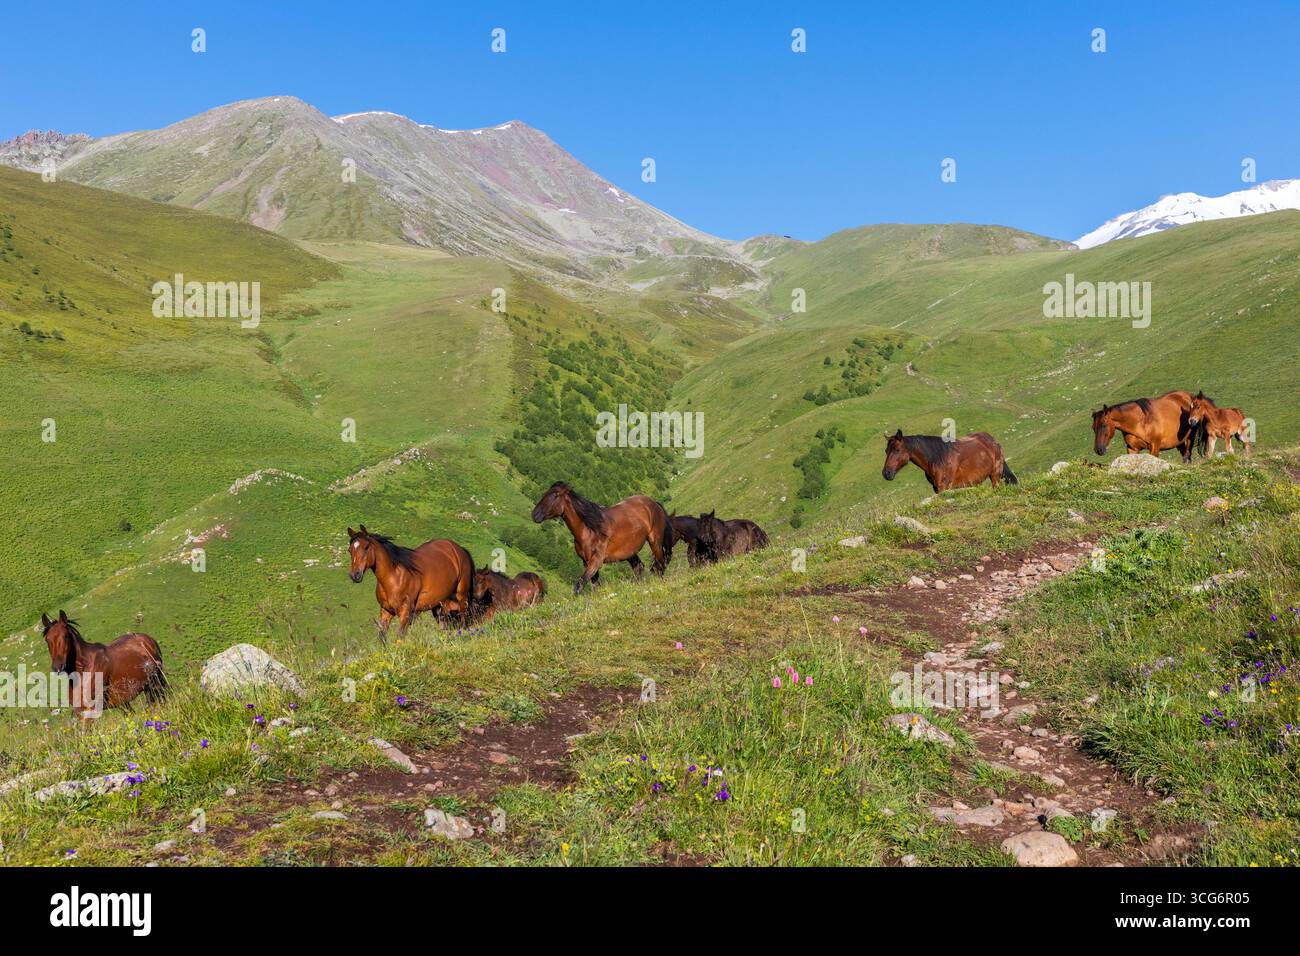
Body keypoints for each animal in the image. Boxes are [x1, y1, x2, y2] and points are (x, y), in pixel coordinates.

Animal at [346, 525, 475, 640]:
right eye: (350, 550)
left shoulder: (405, 614)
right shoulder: (386, 611)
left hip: (461, 594)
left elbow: (400, 637)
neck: (394, 577)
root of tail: (459, 549)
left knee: (463, 617)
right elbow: (382, 636)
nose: (355, 575)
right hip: (439, 603)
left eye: (366, 547)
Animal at [531, 482, 673, 594]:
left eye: (555, 495)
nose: (535, 514)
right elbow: (594, 586)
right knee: (639, 567)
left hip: (655, 542)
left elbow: (579, 585)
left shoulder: (596, 561)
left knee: (660, 565)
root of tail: (654, 503)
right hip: (630, 552)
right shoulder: (586, 561)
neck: (589, 530)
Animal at [882, 430, 1016, 493]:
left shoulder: (943, 487)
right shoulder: (936, 489)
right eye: (886, 451)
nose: (886, 473)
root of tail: (994, 441)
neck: (937, 458)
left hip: (995, 476)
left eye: (897, 450)